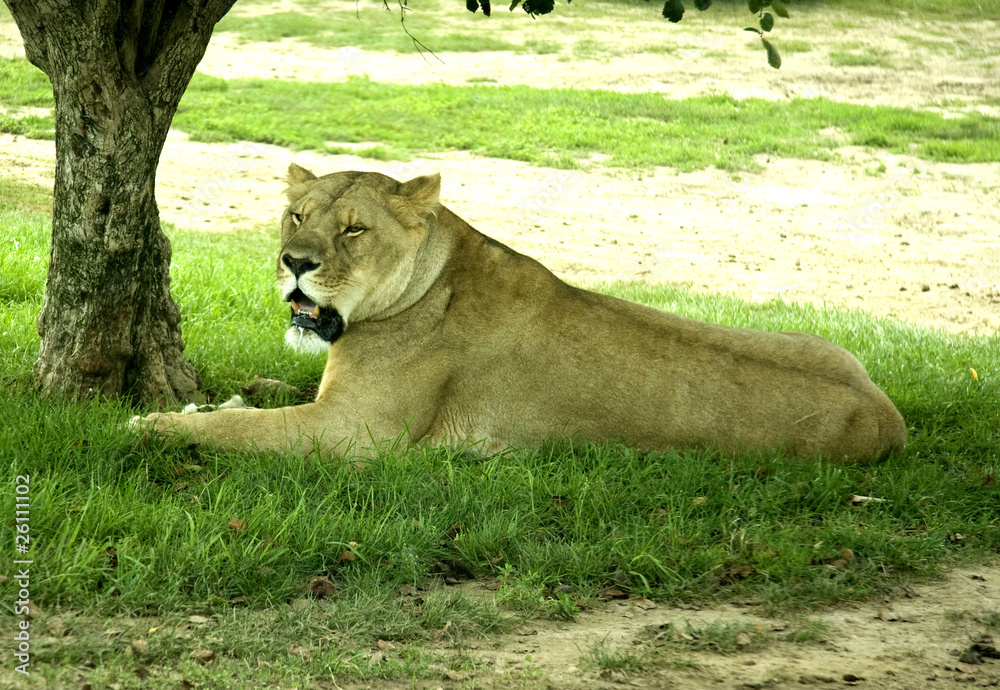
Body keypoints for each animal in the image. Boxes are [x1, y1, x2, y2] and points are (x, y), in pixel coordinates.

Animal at [138, 165, 907, 463]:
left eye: (353, 230)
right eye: (297, 216)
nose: (293, 262)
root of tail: (889, 415)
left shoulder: (354, 435)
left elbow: (240, 429)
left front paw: (149, 425)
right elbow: (264, 396)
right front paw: (223, 393)